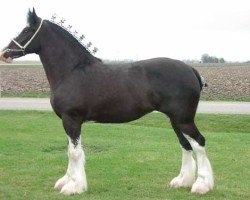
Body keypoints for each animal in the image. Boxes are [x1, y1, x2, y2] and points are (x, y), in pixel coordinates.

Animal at [0, 9, 214, 195]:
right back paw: (183, 181)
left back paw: (201, 185)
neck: (72, 71)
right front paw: (66, 181)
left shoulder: (71, 120)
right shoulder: (68, 122)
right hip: (175, 120)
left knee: (199, 143)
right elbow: (70, 150)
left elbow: (74, 153)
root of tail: (191, 70)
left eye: (26, 30)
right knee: (185, 145)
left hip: (184, 120)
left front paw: (73, 186)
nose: (4, 53)